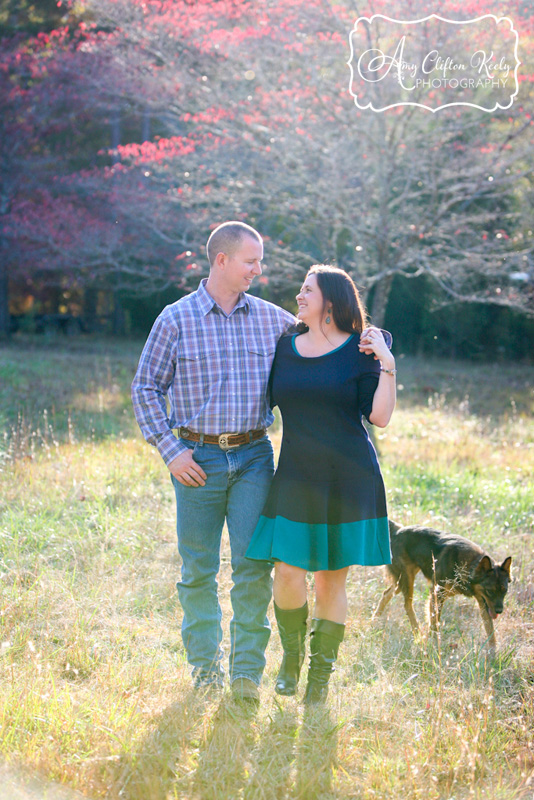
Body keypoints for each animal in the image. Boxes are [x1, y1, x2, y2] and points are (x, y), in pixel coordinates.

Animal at [374, 520, 512, 652]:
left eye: (504, 591)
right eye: (490, 591)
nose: (499, 611)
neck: (468, 565)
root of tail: (397, 530)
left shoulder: (483, 603)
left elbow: (490, 631)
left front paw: (493, 654)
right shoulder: (436, 594)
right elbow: (434, 623)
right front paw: (433, 645)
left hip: (401, 582)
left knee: (386, 594)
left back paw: (374, 621)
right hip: (407, 579)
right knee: (407, 605)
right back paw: (418, 635)